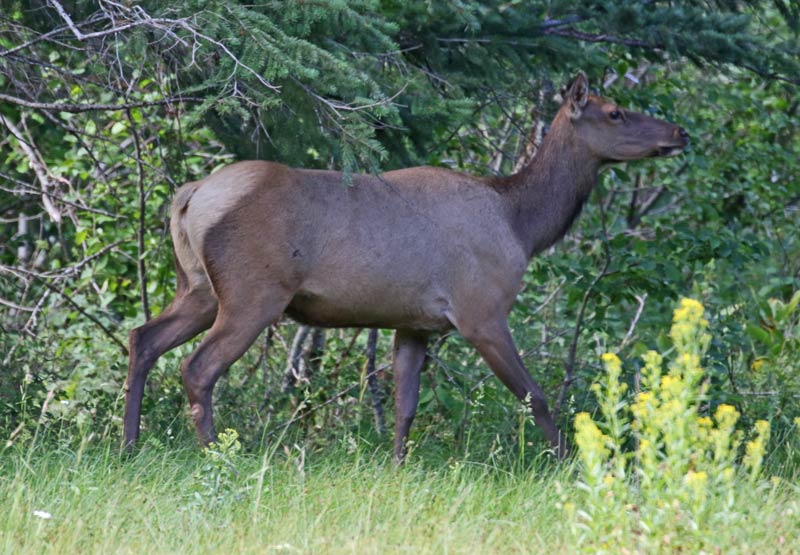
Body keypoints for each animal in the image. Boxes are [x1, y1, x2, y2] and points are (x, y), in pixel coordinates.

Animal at [123, 73, 689, 460]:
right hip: (252, 293)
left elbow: (405, 405)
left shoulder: (414, 323)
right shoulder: (481, 311)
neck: (522, 226)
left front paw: (396, 466)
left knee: (143, 337)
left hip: (198, 288)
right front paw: (571, 463)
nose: (680, 131)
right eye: (615, 112)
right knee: (198, 368)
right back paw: (216, 455)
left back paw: (129, 445)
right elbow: (537, 396)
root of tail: (190, 195)